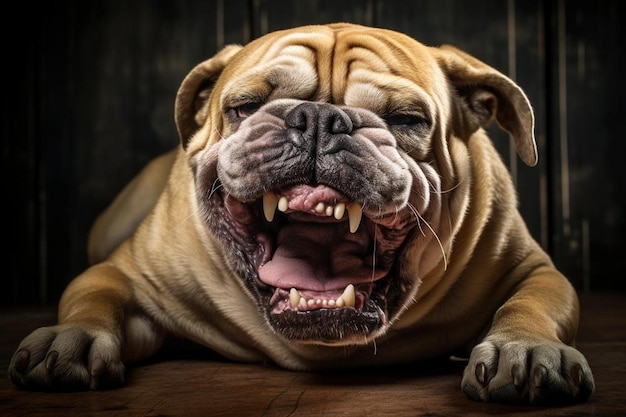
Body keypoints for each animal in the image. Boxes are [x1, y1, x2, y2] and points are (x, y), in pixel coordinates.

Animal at [11, 22, 596, 404]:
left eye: (406, 119)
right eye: (244, 108)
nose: (317, 119)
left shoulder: (529, 268)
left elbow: (534, 302)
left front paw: (524, 349)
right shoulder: (131, 273)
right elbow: (93, 292)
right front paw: (73, 338)